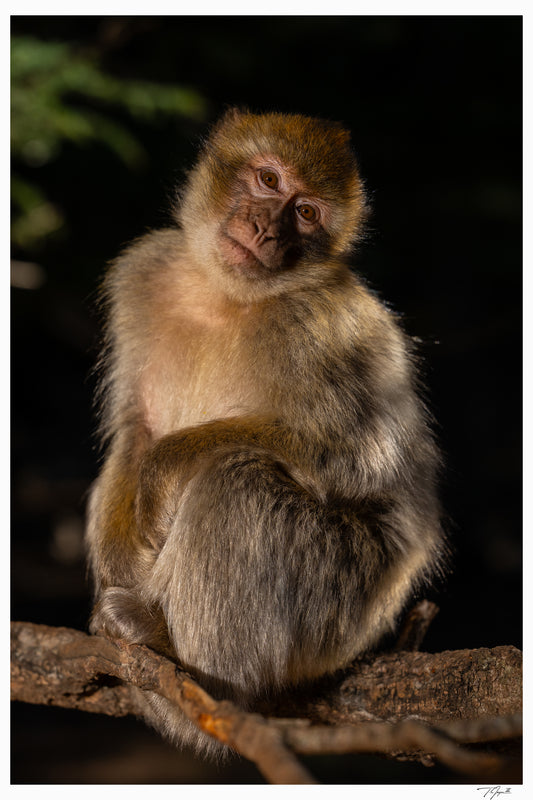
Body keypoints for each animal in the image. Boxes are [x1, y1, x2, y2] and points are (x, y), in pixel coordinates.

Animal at [86, 108, 445, 758]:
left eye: (305, 214)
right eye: (269, 180)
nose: (266, 228)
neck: (223, 295)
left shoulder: (318, 329)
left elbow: (359, 459)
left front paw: (164, 470)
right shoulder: (144, 270)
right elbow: (135, 427)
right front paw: (122, 551)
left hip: (341, 598)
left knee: (238, 481)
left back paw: (193, 669)